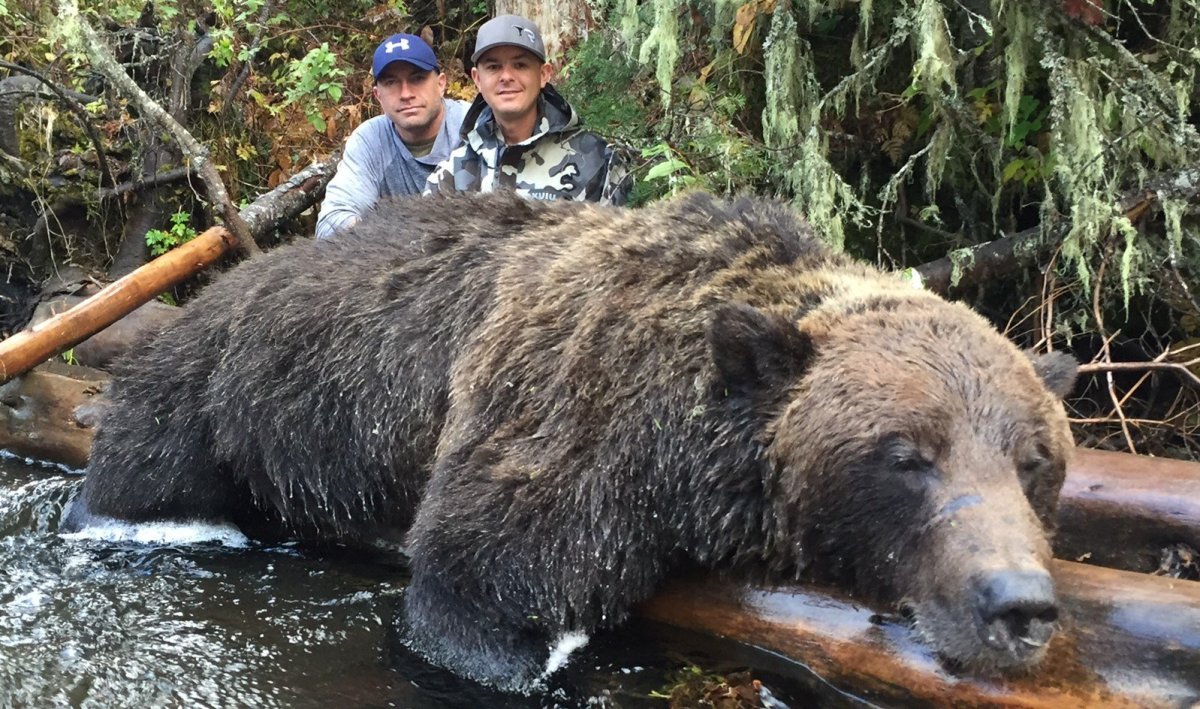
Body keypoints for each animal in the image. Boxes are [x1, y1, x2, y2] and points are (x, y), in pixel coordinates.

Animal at [62, 191, 1077, 693]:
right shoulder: (567, 428)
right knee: (144, 470)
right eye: (907, 454)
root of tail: (226, 278)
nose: (1018, 604)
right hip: (215, 394)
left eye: (1035, 462)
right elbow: (472, 595)